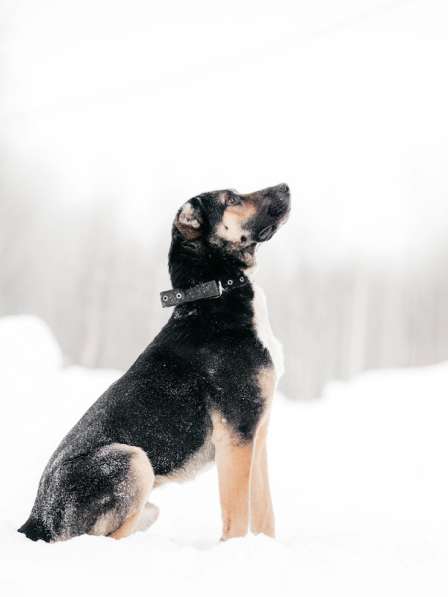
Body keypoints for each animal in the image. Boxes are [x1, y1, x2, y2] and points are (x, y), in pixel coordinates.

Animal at [17, 184, 290, 544]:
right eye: (231, 199)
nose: (286, 187)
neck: (213, 292)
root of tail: (35, 521)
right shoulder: (237, 435)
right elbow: (237, 517)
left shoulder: (257, 435)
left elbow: (265, 513)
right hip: (132, 459)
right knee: (108, 538)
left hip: (148, 501)